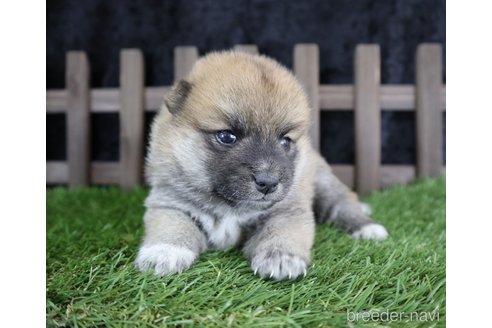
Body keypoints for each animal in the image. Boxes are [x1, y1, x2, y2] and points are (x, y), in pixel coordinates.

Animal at [135, 50, 388, 280]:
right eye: (226, 136)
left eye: (285, 141)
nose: (268, 183)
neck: (228, 205)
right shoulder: (170, 204)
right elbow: (172, 227)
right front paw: (163, 252)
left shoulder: (288, 211)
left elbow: (281, 232)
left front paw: (282, 258)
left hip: (324, 183)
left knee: (343, 204)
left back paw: (368, 228)